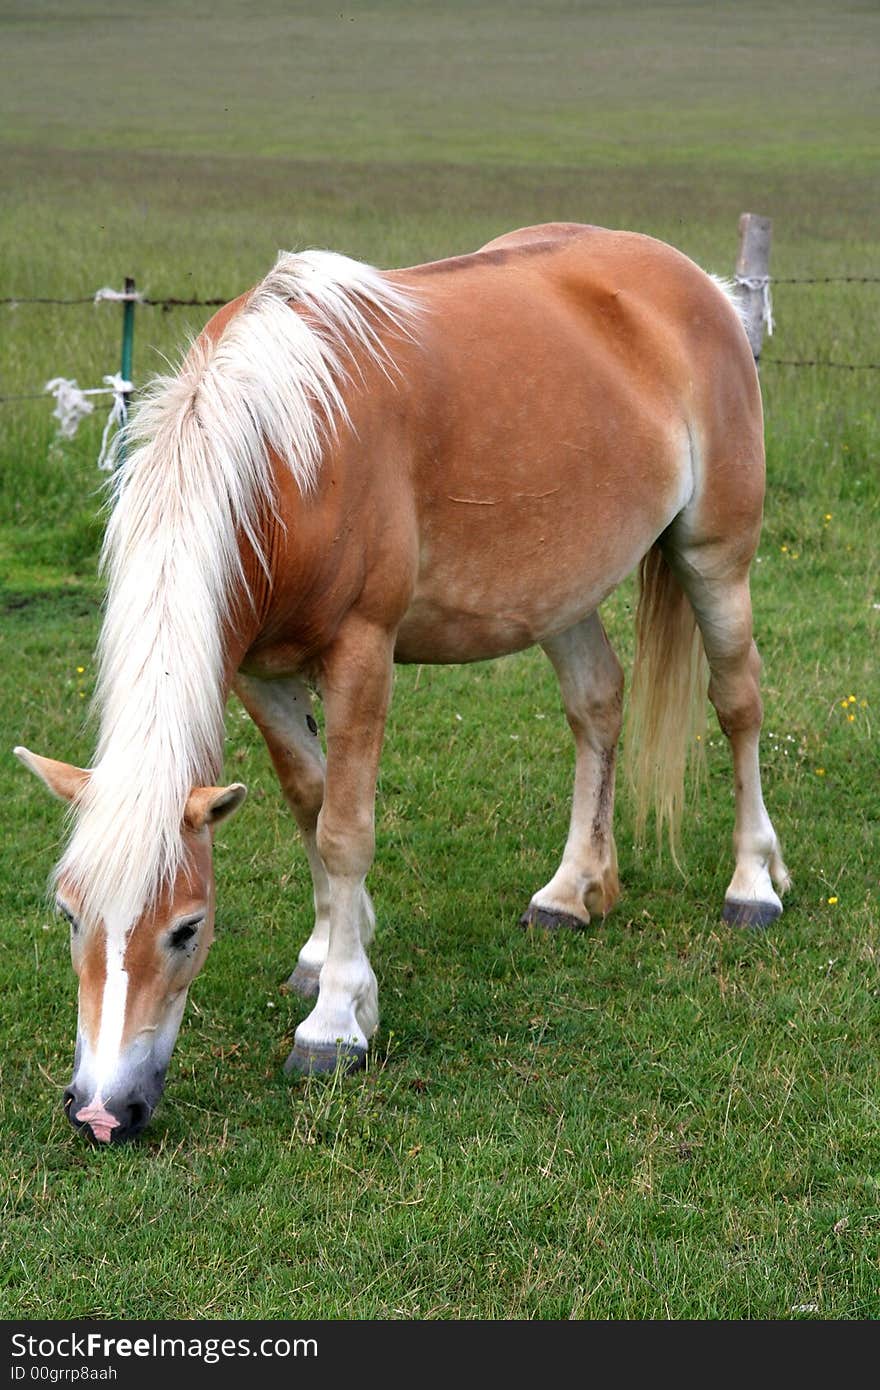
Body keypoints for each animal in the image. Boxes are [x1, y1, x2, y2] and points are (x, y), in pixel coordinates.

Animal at [15, 225, 789, 1139]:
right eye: (69, 914)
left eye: (187, 928)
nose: (103, 1112)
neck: (287, 452)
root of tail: (697, 284)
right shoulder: (258, 674)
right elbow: (309, 804)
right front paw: (326, 953)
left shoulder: (361, 654)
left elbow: (346, 831)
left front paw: (336, 1021)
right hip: (559, 594)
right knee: (598, 705)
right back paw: (572, 892)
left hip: (716, 558)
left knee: (739, 705)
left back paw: (753, 885)